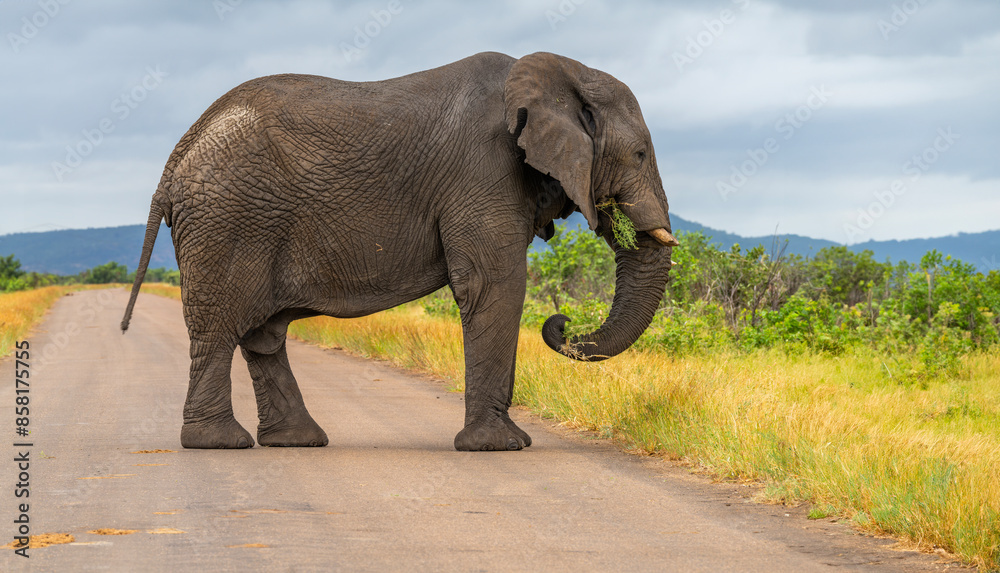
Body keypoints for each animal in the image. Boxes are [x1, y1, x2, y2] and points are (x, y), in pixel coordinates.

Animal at [121, 51, 679, 451]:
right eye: (640, 154)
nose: (561, 323)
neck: (560, 77)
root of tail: (177, 156)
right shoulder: (483, 173)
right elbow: (493, 284)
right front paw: (500, 447)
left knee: (261, 334)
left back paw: (297, 441)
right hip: (229, 220)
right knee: (220, 329)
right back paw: (219, 443)